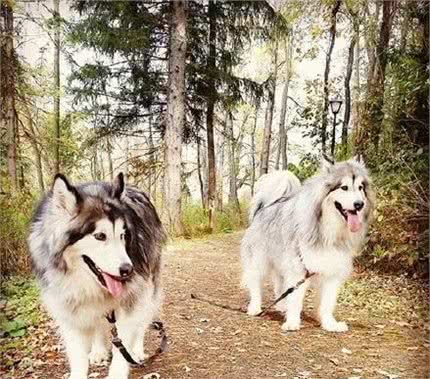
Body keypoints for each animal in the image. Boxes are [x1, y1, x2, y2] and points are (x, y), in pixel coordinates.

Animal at [26, 174, 165, 379]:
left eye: (123, 235)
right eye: (100, 236)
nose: (128, 270)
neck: (85, 282)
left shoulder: (131, 298)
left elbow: (123, 344)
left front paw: (119, 370)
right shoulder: (67, 305)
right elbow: (78, 354)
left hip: (148, 285)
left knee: (142, 320)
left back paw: (136, 350)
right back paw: (99, 350)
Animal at [240, 157, 374, 332]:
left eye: (360, 188)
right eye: (344, 187)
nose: (359, 204)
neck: (327, 230)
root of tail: (264, 207)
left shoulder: (332, 271)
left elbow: (327, 303)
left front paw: (329, 324)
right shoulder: (298, 267)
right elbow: (296, 298)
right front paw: (292, 322)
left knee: (280, 284)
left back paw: (282, 306)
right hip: (259, 259)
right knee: (255, 283)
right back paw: (255, 307)